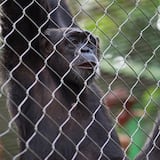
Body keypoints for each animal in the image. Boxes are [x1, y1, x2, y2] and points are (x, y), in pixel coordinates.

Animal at [0, 0, 127, 159]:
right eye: (74, 41)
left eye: (89, 43)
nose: (86, 49)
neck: (64, 80)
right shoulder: (27, 55)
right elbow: (23, 9)